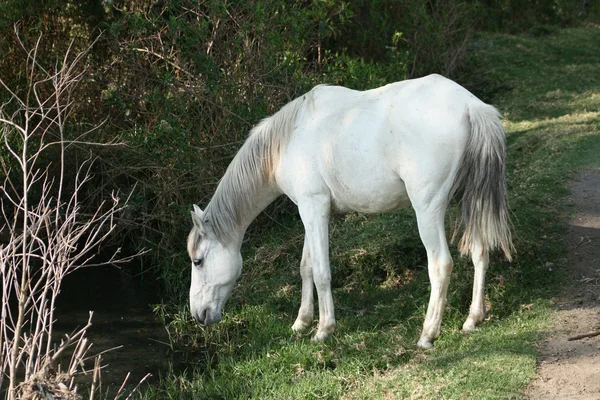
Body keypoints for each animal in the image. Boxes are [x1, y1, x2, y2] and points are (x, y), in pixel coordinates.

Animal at [186, 73, 510, 348]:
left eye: (198, 261)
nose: (198, 314)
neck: (289, 137)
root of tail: (469, 105)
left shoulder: (314, 208)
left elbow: (321, 272)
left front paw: (324, 329)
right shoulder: (310, 211)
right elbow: (306, 267)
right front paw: (301, 322)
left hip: (428, 210)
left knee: (441, 264)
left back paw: (428, 333)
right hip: (468, 201)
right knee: (480, 251)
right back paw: (472, 319)